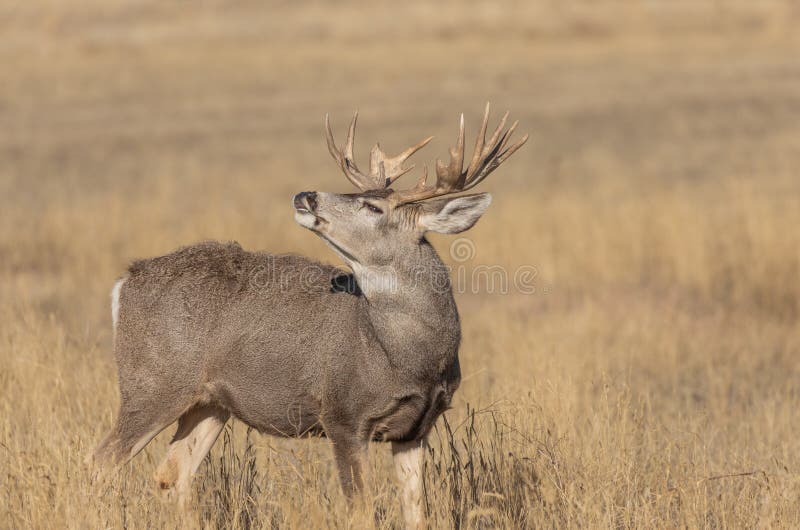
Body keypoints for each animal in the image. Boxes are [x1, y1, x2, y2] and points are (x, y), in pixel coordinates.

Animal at [89, 104, 524, 528]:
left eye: (373, 205)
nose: (305, 195)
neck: (407, 357)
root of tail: (125, 281)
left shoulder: (416, 428)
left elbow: (417, 514)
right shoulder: (343, 414)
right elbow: (360, 512)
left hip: (209, 402)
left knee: (171, 475)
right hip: (152, 385)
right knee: (102, 460)